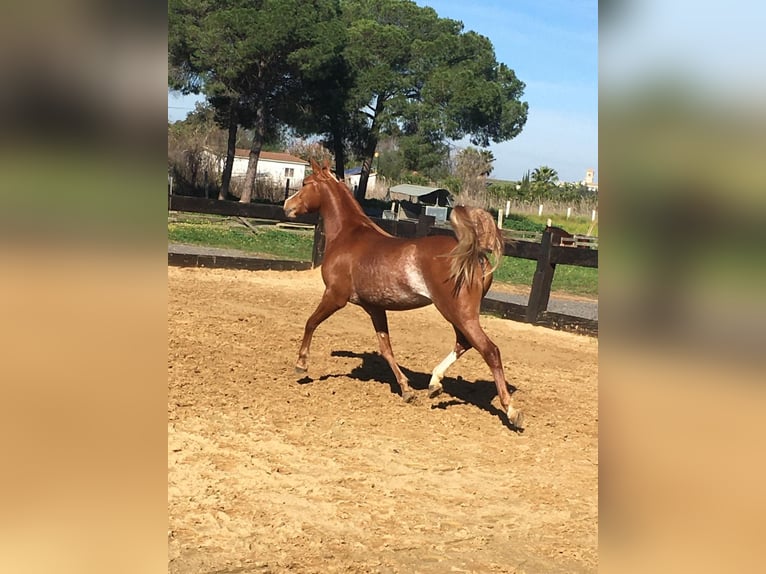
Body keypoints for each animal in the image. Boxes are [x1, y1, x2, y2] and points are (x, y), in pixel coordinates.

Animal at [284, 160, 524, 430]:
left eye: (306, 184)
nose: (287, 206)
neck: (348, 236)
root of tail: (475, 255)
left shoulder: (335, 296)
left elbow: (310, 322)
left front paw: (301, 364)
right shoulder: (375, 307)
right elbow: (386, 348)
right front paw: (406, 390)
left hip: (458, 311)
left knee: (489, 350)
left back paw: (511, 411)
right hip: (457, 313)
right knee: (464, 343)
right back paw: (434, 384)